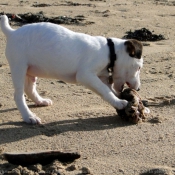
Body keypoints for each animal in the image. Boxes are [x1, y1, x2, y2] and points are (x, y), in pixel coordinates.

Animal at [0, 15, 145, 124]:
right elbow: (105, 91)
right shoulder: (86, 75)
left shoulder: (101, 77)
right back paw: (29, 117)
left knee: (29, 89)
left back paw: (40, 101)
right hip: (19, 67)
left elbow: (108, 90)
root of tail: (12, 33)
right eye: (138, 67)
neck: (110, 51)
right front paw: (120, 103)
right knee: (18, 95)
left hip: (30, 71)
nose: (138, 89)